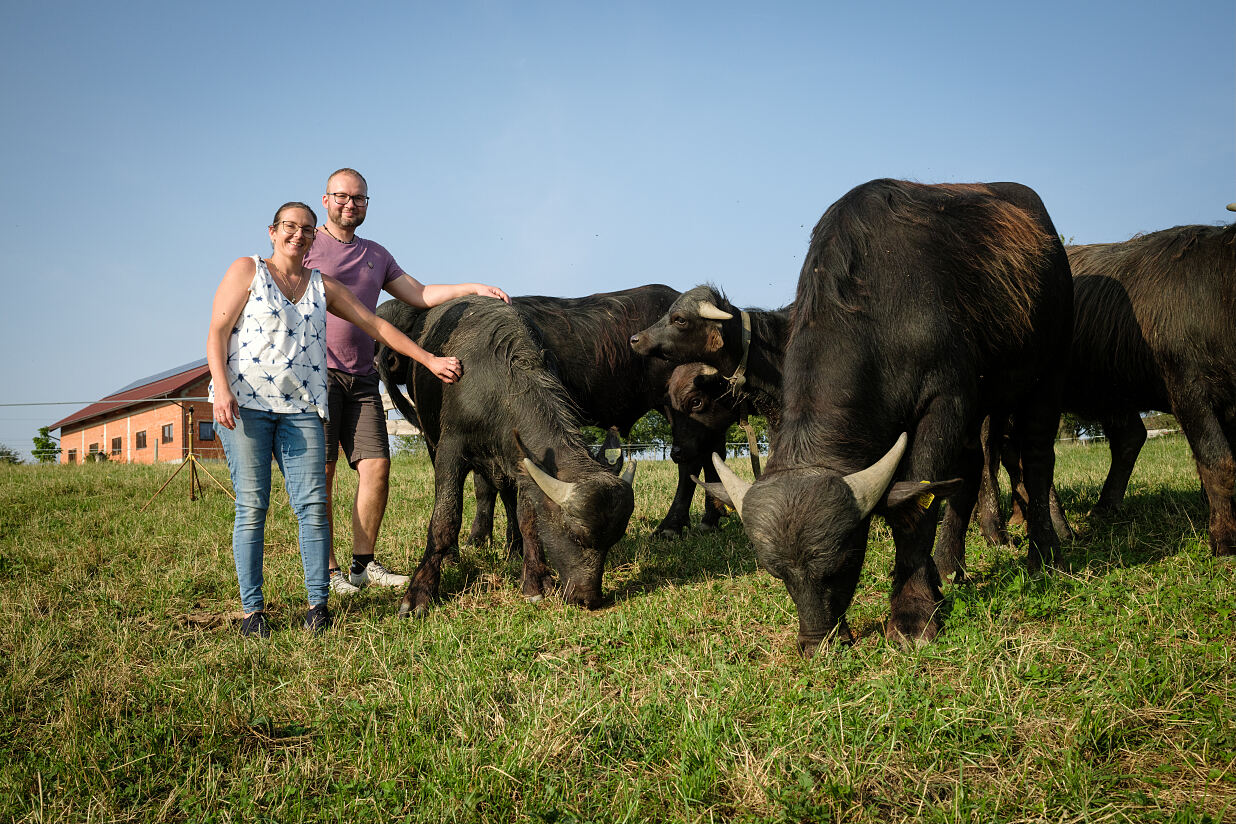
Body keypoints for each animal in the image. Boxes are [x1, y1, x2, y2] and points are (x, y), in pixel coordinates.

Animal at [380, 286, 726, 538]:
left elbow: (489, 485)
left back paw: (671, 526)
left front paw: (487, 536)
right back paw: (711, 518)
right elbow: (486, 485)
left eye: (404, 325)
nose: (390, 359)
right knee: (713, 452)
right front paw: (484, 537)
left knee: (690, 460)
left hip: (680, 407)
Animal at [385, 295, 637, 612]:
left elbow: (528, 519)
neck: (496, 388)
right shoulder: (450, 449)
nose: (588, 598)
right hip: (434, 441)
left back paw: (513, 548)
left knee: (503, 496)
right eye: (576, 535)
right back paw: (456, 553)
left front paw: (535, 581)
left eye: (613, 540)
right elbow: (445, 517)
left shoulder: (524, 462)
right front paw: (419, 593)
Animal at [706, 180, 1072, 657]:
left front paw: (913, 613)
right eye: (779, 574)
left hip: (1046, 374)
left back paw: (1045, 554)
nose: (817, 642)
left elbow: (914, 508)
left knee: (1037, 457)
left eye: (846, 560)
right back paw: (950, 565)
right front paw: (932, 586)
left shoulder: (945, 398)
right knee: (969, 473)